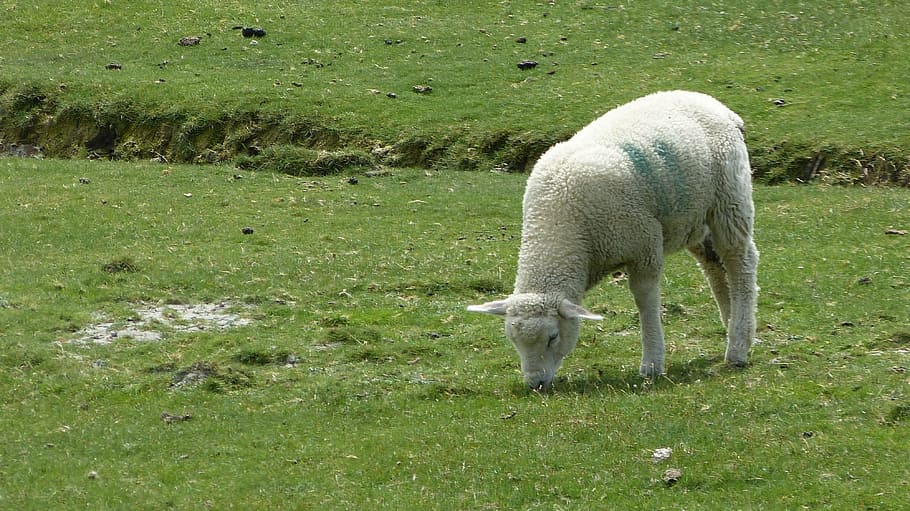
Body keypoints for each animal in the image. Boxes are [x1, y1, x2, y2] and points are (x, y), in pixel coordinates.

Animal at [468, 90, 759, 389]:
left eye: (552, 337)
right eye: (512, 340)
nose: (535, 383)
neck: (563, 229)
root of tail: (720, 108)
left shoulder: (644, 245)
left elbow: (645, 301)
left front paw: (652, 362)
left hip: (729, 199)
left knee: (740, 263)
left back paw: (737, 347)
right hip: (693, 217)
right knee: (714, 266)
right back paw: (737, 329)